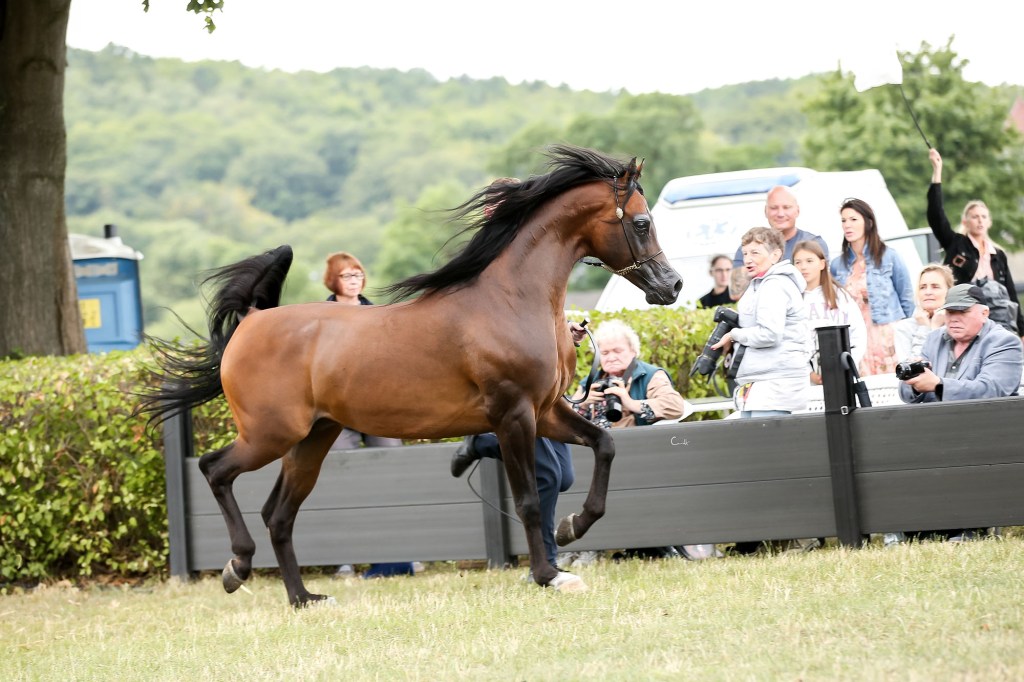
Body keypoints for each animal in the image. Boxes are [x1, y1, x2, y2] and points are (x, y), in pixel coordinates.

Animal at [139, 145, 681, 606]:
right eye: (642, 222)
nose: (672, 286)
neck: (510, 300)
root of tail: (251, 322)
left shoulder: (546, 411)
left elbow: (604, 445)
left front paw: (571, 526)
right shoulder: (514, 416)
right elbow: (529, 500)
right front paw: (550, 575)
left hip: (312, 440)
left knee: (279, 515)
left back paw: (304, 598)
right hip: (270, 434)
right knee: (215, 470)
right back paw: (237, 567)